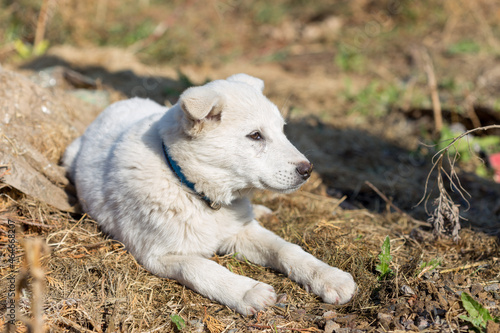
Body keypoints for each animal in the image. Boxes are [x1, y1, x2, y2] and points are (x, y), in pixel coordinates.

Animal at [63, 73, 356, 314]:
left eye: (282, 131)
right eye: (255, 136)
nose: (308, 170)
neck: (193, 190)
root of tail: (115, 105)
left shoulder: (241, 232)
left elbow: (286, 249)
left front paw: (329, 277)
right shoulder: (156, 255)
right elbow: (200, 267)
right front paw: (247, 291)